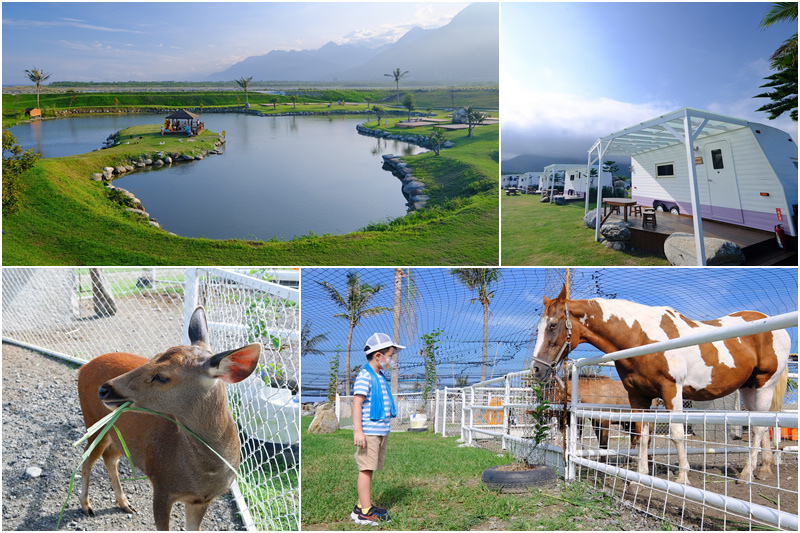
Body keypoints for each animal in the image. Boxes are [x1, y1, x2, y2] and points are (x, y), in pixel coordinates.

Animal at [77, 306, 260, 528]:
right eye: (152, 357)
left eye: (162, 377)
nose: (104, 389)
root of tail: (82, 368)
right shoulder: (161, 486)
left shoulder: (201, 500)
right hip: (93, 421)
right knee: (87, 458)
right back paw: (86, 506)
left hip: (119, 436)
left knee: (109, 457)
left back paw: (124, 503)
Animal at [532, 284, 788, 484]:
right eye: (539, 328)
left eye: (553, 325)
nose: (536, 369)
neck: (642, 337)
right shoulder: (638, 396)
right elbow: (642, 434)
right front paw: (641, 476)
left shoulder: (671, 389)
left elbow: (677, 433)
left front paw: (682, 477)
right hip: (749, 388)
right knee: (759, 424)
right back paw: (764, 469)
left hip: (765, 384)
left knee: (758, 428)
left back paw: (745, 474)